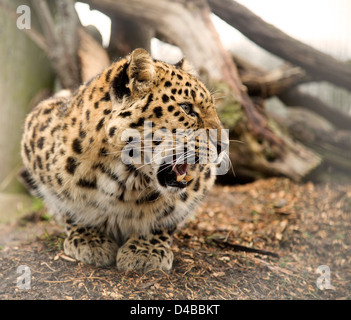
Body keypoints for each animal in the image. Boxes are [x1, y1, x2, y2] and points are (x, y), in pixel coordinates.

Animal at [20, 48, 228, 272]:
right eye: (186, 108)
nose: (223, 146)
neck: (123, 180)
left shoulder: (200, 183)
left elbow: (166, 217)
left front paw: (146, 249)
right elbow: (67, 206)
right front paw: (89, 238)